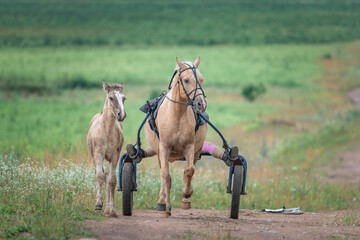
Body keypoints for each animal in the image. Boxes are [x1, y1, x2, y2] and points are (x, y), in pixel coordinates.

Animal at [87, 80, 126, 218]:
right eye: (111, 98)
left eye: (123, 98)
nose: (121, 115)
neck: (107, 131)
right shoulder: (98, 154)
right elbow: (99, 176)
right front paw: (98, 204)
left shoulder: (114, 156)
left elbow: (111, 180)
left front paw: (111, 210)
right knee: (100, 175)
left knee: (108, 176)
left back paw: (108, 209)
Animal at [143, 56, 207, 218]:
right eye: (186, 80)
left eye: (201, 80)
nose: (201, 104)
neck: (177, 114)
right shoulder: (164, 148)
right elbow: (165, 175)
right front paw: (166, 206)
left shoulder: (189, 147)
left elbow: (189, 170)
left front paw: (186, 195)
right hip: (160, 153)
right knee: (163, 173)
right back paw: (161, 201)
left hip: (196, 151)